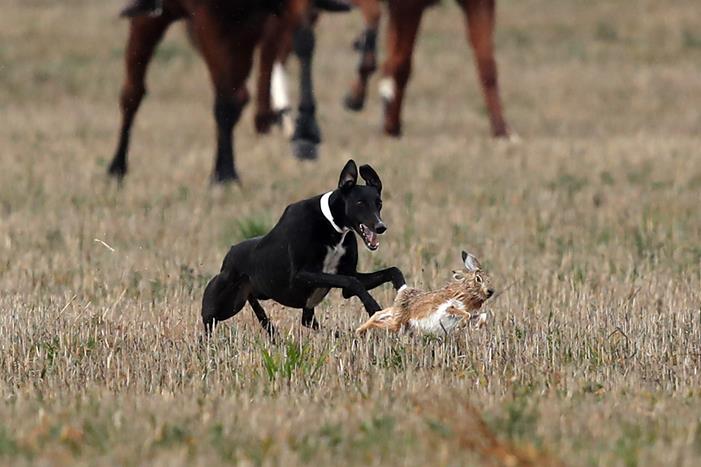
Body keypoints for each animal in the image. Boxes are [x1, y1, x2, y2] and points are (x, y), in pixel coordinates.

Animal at [200, 159, 404, 334]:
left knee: (307, 321)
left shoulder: (347, 275)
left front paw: (402, 292)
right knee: (208, 321)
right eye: (360, 203)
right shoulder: (300, 276)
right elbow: (350, 281)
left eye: (379, 203)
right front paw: (373, 307)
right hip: (223, 303)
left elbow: (390, 271)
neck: (331, 226)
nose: (381, 227)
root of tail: (230, 252)